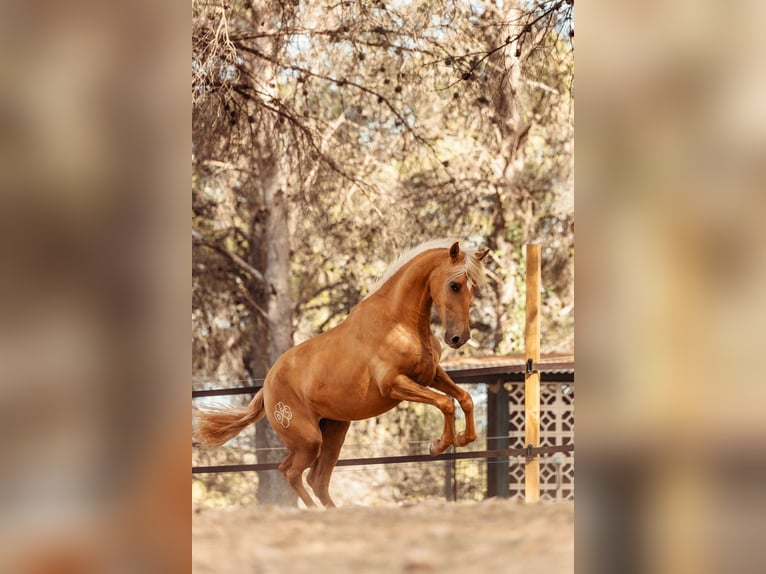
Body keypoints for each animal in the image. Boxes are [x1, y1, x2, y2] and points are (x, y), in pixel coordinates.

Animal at [195, 238, 488, 508]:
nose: (458, 338)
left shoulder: (431, 375)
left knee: (313, 478)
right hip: (309, 440)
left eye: (474, 287)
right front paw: (438, 444)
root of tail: (266, 387)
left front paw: (464, 438)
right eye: (454, 285)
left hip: (332, 434)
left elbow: (464, 398)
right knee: (292, 473)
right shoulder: (394, 384)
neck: (398, 324)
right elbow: (445, 403)